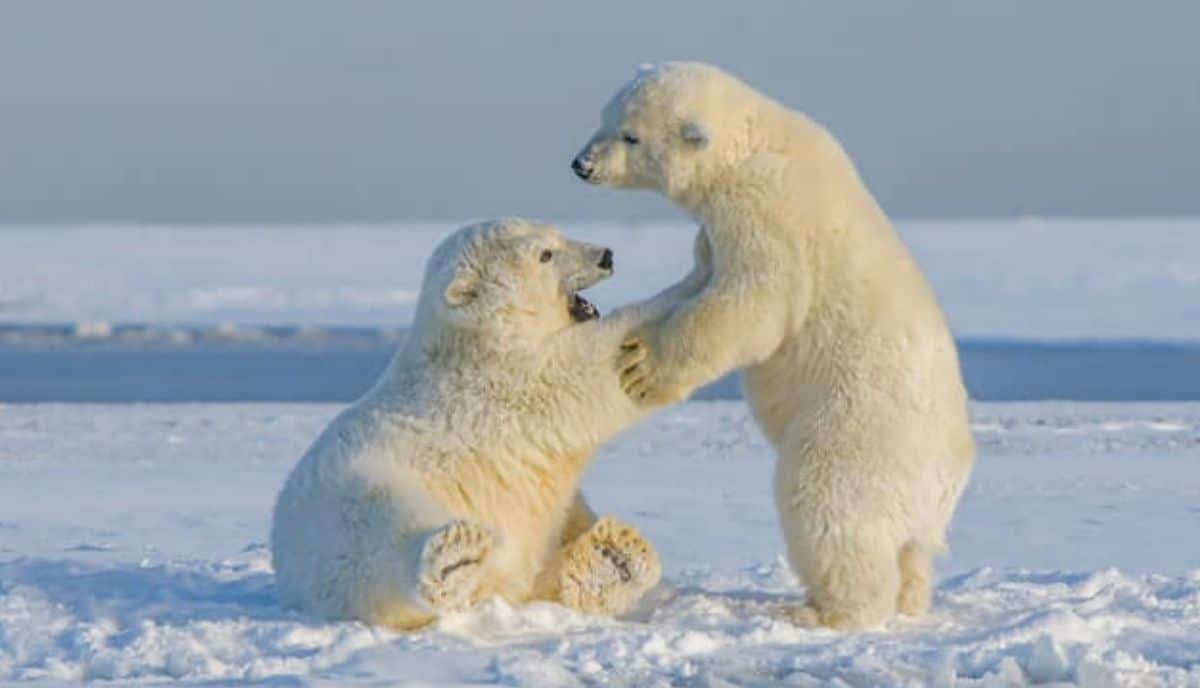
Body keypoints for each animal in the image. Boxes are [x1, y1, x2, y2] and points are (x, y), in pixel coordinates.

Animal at [270, 218, 692, 630]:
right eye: (545, 254)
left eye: (556, 233)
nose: (606, 255)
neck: (474, 338)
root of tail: (288, 572)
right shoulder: (509, 381)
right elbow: (588, 368)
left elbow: (563, 511)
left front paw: (609, 553)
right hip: (354, 498)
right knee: (386, 532)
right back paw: (455, 557)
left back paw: (615, 554)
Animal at [572, 62, 975, 630]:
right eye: (605, 118)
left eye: (631, 135)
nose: (581, 165)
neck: (755, 142)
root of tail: (947, 478)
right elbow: (705, 272)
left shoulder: (767, 215)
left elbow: (753, 304)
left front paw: (643, 367)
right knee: (911, 551)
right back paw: (909, 601)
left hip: (855, 431)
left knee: (827, 507)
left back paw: (823, 611)